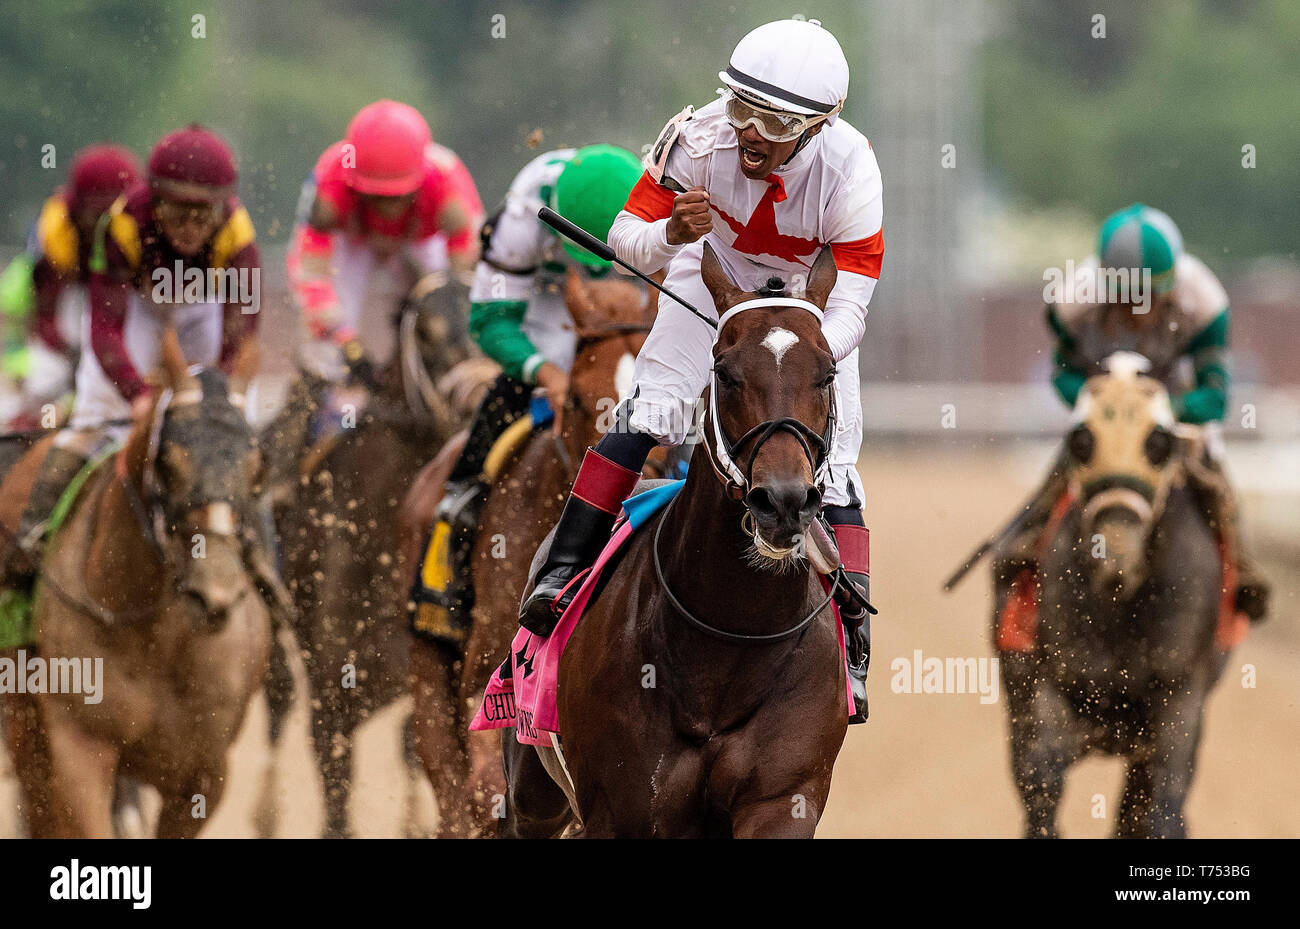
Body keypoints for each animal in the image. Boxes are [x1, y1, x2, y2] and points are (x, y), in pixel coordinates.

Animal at [0, 337, 269, 841]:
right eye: (169, 460)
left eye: (256, 464)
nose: (215, 595)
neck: (155, 640)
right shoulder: (79, 750)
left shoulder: (206, 774)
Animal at [501, 242, 847, 841]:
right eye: (725, 373)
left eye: (827, 374)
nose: (783, 501)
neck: (730, 642)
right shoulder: (621, 809)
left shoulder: (782, 798)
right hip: (533, 791)